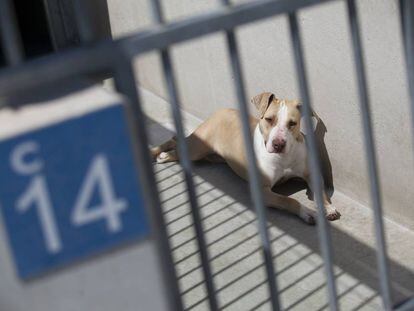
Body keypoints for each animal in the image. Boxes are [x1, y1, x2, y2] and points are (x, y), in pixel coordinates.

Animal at [150, 91, 342, 225]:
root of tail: (220, 111)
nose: (278, 144)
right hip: (196, 149)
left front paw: (328, 208)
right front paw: (307, 212)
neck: (284, 157)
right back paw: (161, 154)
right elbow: (289, 200)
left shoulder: (311, 175)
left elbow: (321, 192)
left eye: (292, 123)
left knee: (176, 139)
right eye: (269, 119)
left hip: (211, 156)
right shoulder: (262, 191)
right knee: (177, 145)